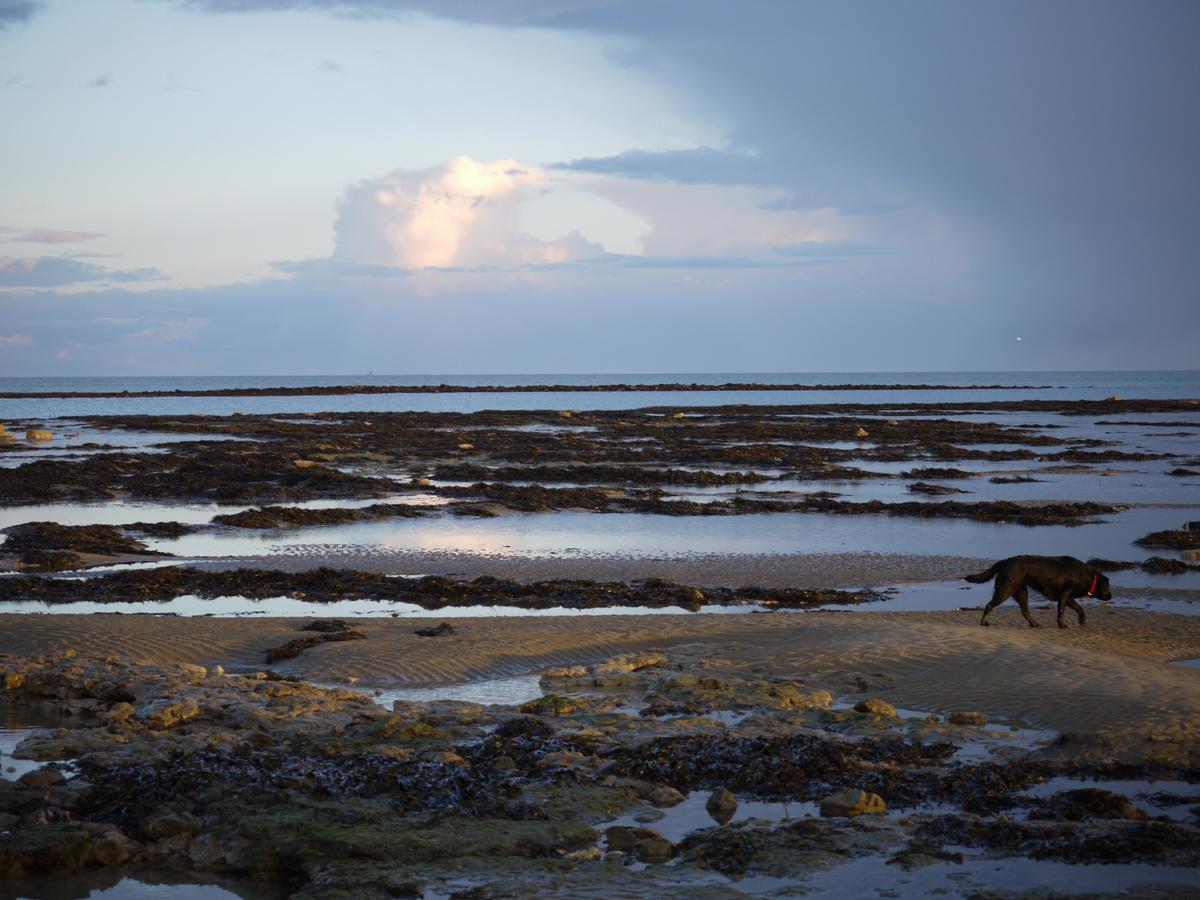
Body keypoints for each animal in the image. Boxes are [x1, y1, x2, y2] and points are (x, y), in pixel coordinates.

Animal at [960, 556, 1108, 628]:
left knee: (1024, 611)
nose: (1110, 595)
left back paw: (1034, 624)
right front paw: (1062, 625)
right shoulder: (1064, 596)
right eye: (1107, 587)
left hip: (1021, 592)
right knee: (989, 605)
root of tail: (1005, 562)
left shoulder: (1066, 597)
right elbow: (1061, 612)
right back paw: (983, 623)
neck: (1087, 576)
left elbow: (1079, 608)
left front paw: (1082, 620)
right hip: (1005, 590)